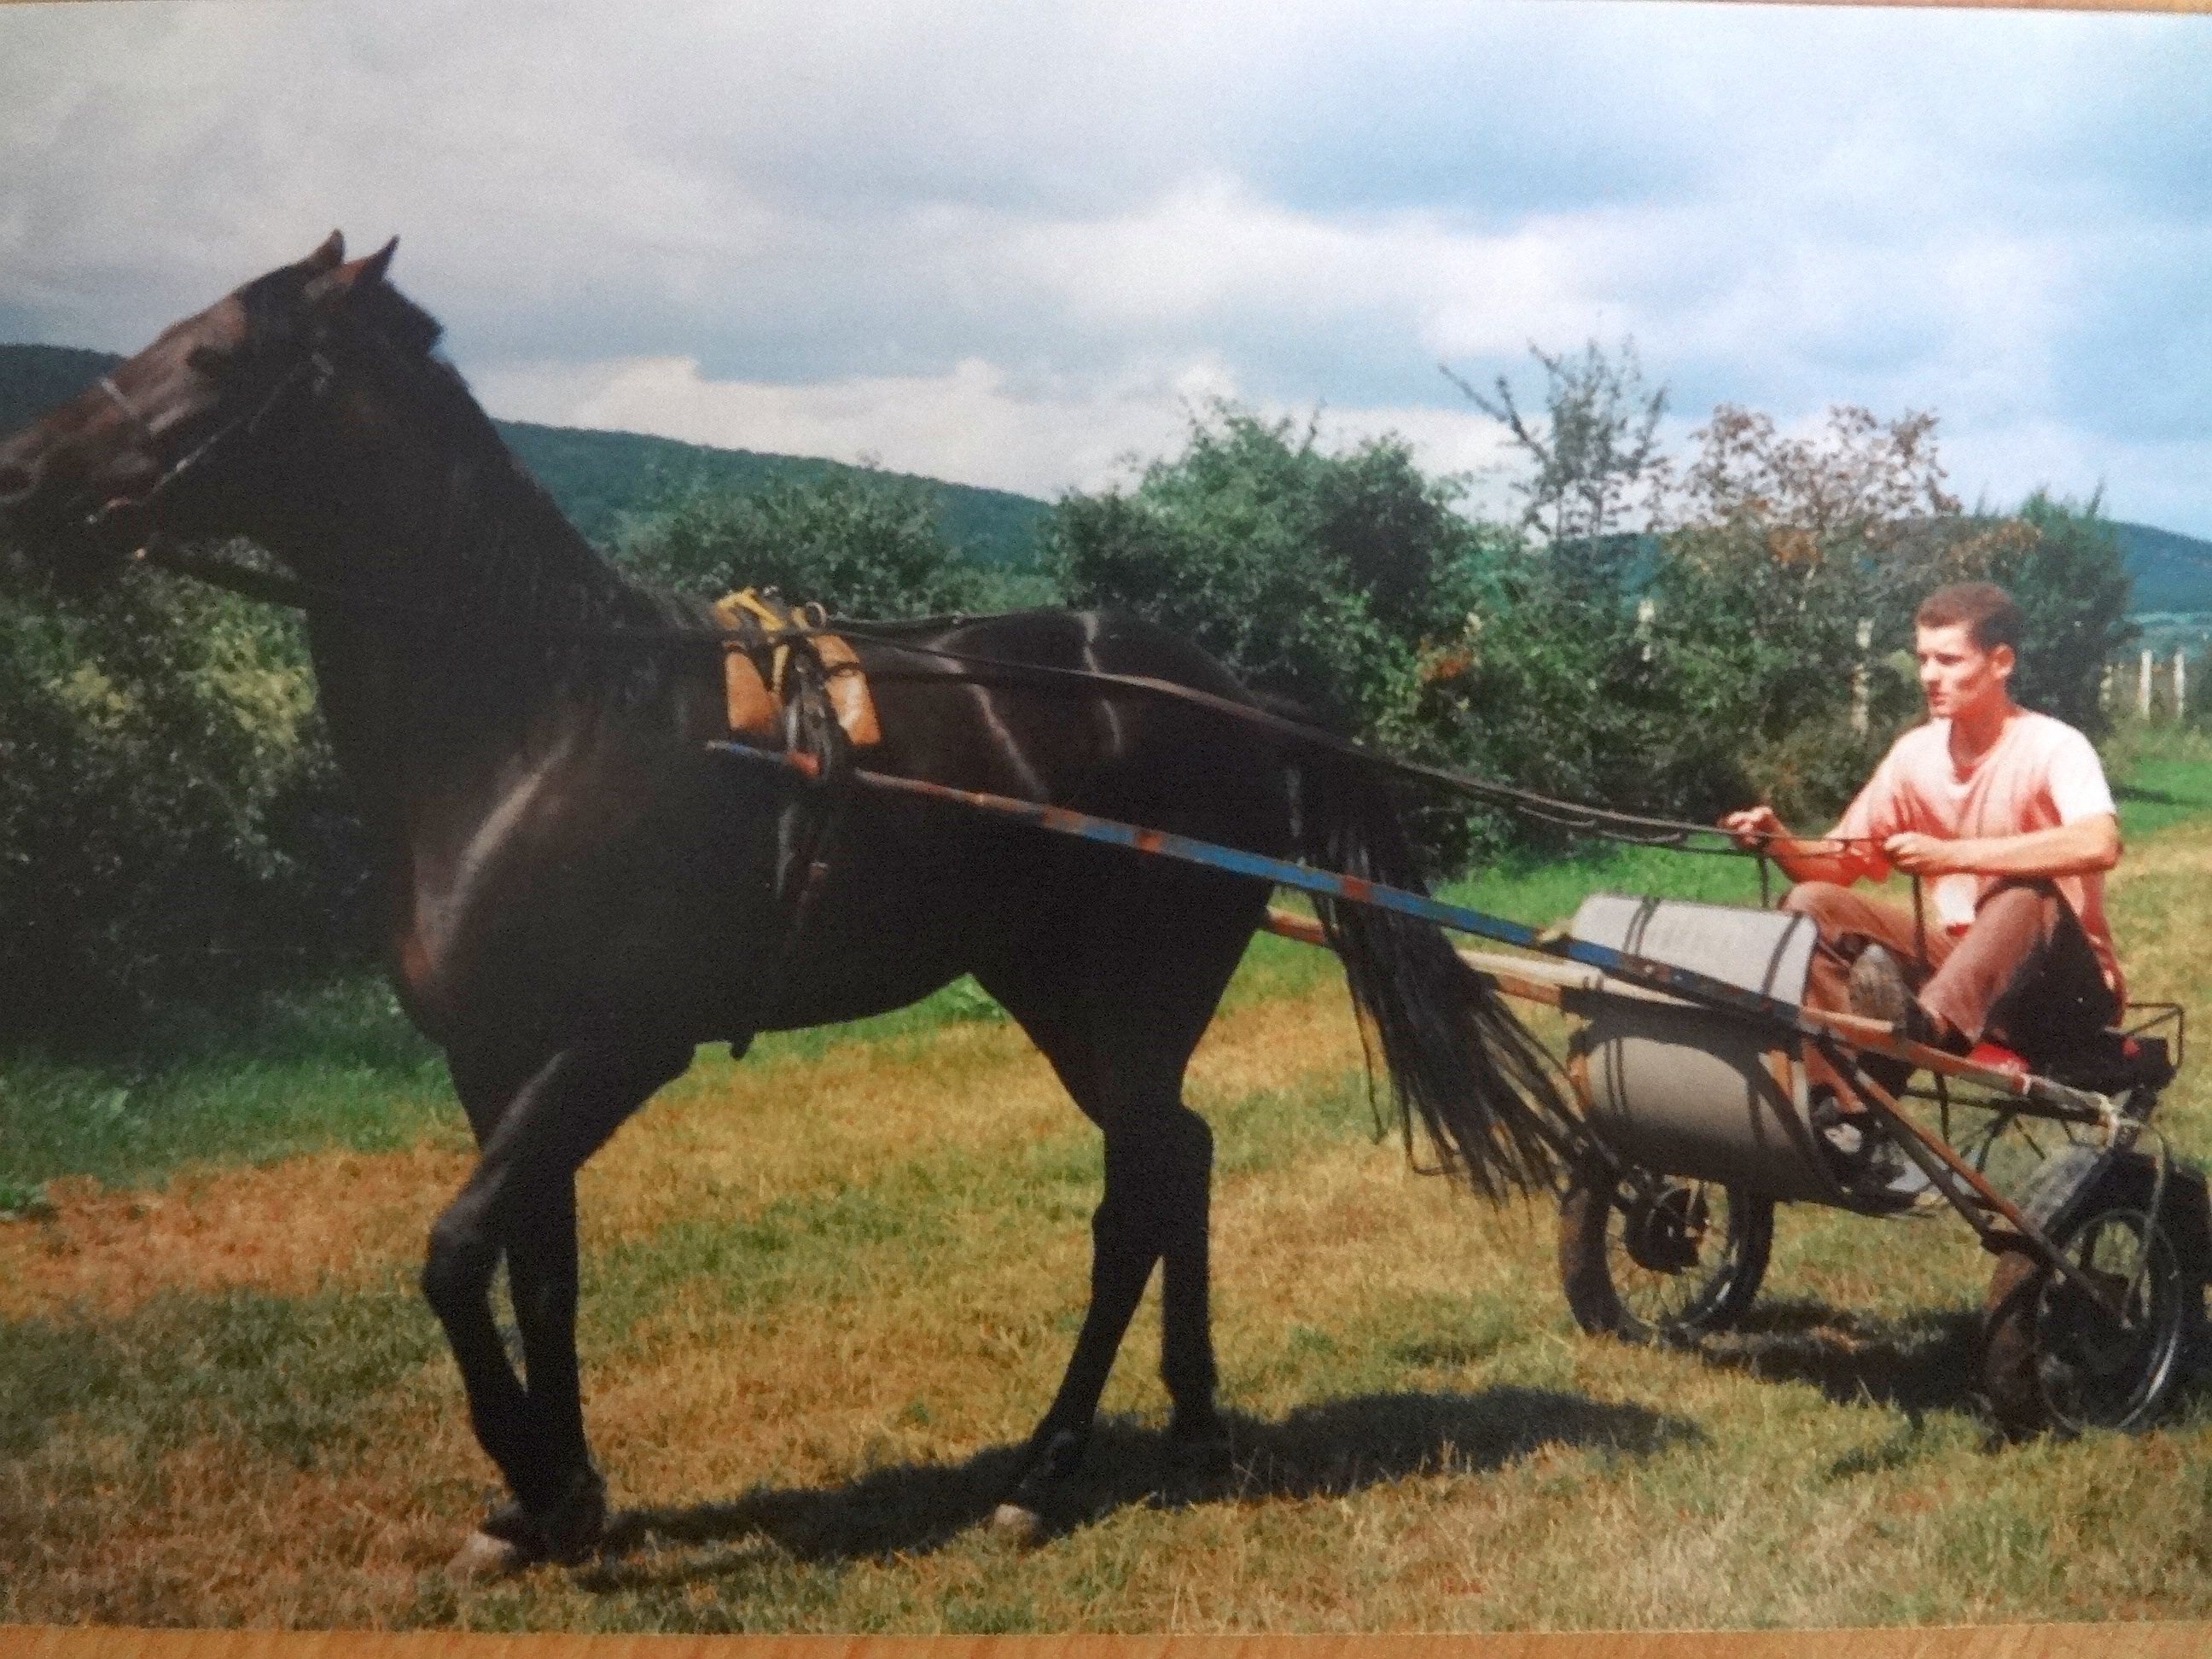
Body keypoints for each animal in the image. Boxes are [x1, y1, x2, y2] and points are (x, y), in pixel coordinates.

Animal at [0, 234, 1557, 1575]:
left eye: (212, 353)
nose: (21, 471)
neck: (544, 723)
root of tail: (1237, 696)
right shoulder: (498, 1061)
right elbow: (537, 1266)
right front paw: (550, 1501)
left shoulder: (619, 1044)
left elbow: (452, 1257)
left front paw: (542, 1479)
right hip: (1062, 996)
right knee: (1178, 1161)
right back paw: (1187, 1424)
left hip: (1126, 998)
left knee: (1137, 1193)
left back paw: (1043, 1471)